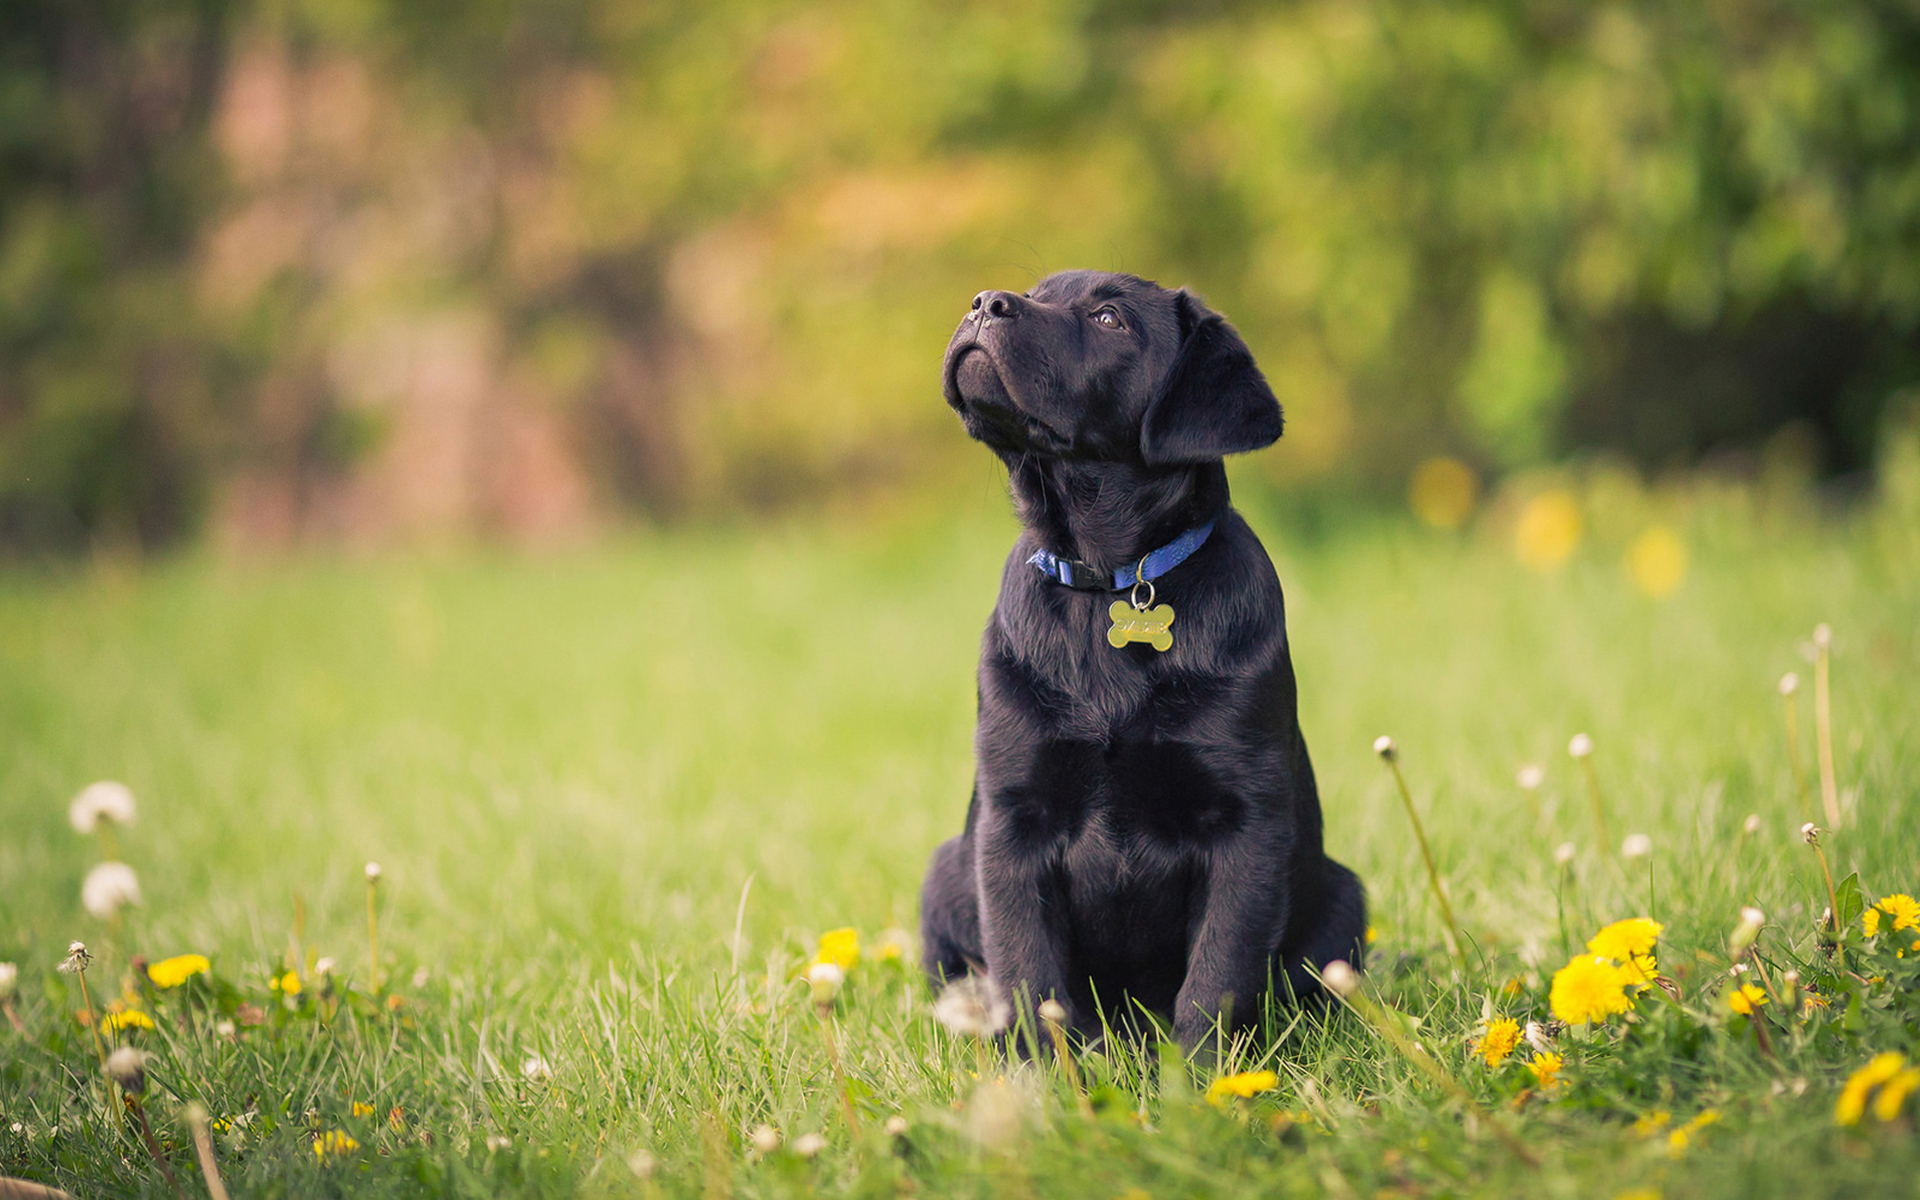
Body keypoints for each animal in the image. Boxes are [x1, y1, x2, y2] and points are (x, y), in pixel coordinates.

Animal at [917, 266, 1359, 1044]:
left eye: (1110, 318)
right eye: (1036, 290)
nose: (984, 304)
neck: (1108, 581)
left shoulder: (1247, 823)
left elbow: (1217, 978)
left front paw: (1207, 1073)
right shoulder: (1012, 821)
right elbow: (1028, 974)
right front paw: (1043, 1069)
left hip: (1343, 892)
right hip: (945, 873)